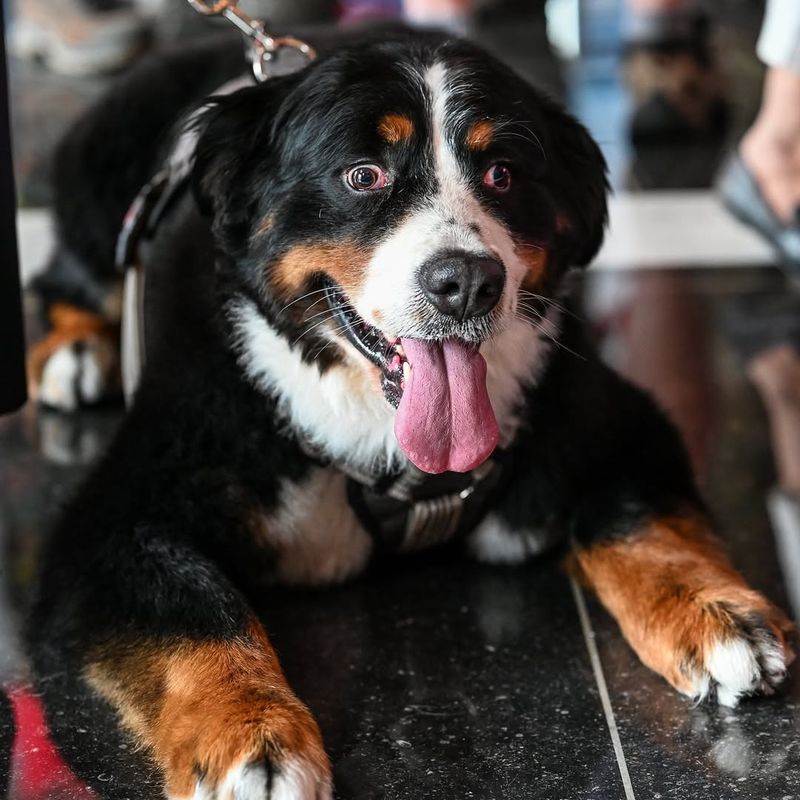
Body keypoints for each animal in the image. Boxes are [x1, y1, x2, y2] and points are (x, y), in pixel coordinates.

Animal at [26, 26, 792, 800]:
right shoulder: (118, 516)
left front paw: (718, 614)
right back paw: (76, 350)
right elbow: (193, 606)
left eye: (503, 175)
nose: (466, 283)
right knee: (65, 276)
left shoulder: (619, 422)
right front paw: (252, 738)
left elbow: (635, 516)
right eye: (363, 176)